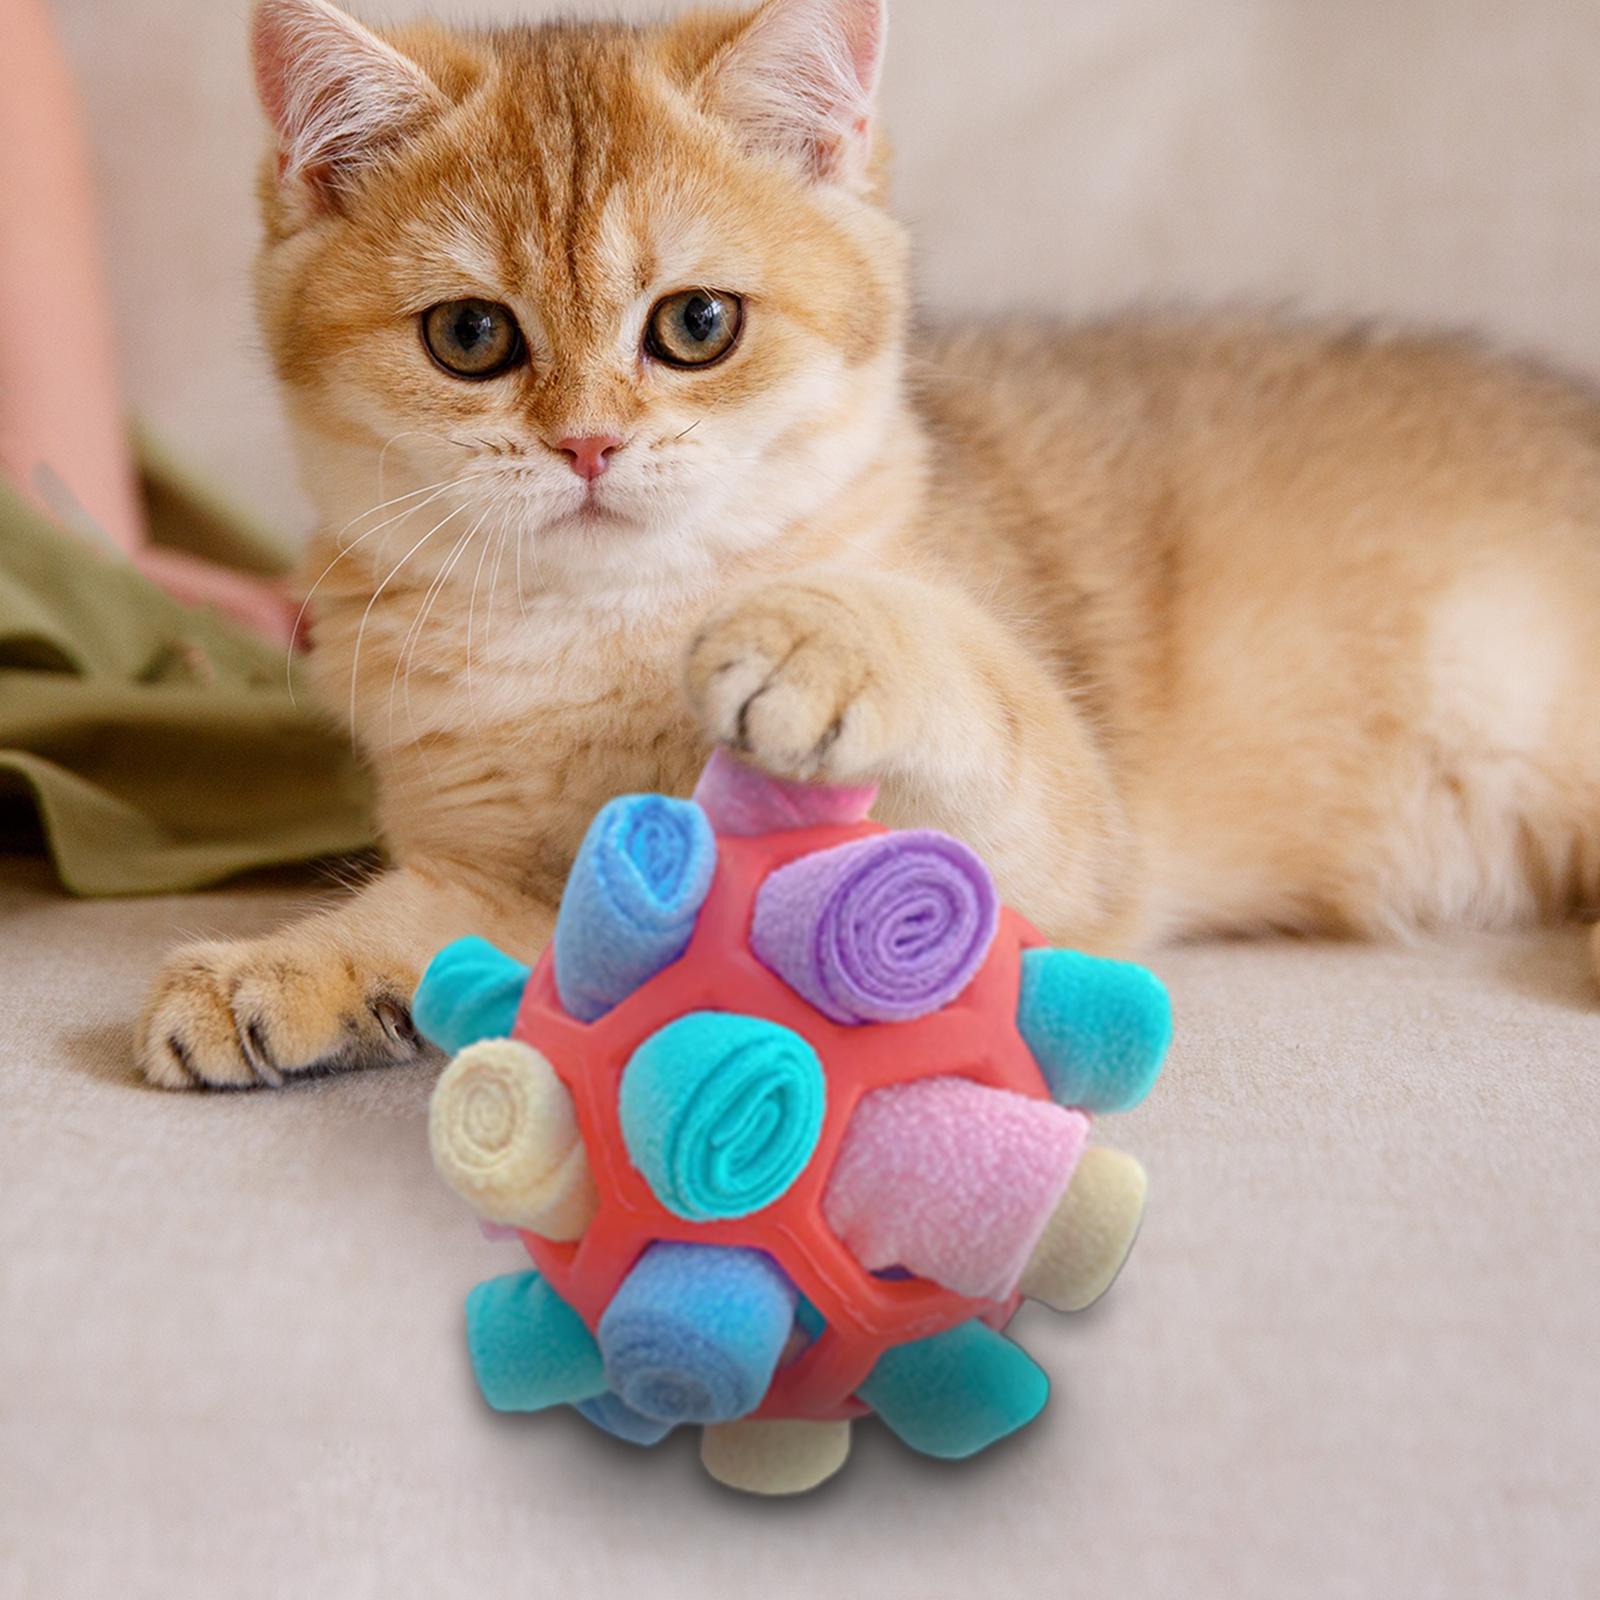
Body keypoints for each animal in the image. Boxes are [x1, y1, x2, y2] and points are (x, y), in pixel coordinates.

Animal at [139, 0, 1600, 1088]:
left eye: (697, 325)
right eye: (470, 337)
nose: (589, 445)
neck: (593, 642)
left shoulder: (1065, 855)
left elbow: (969, 685)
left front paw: (821, 638)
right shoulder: (524, 874)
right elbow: (417, 913)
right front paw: (278, 967)